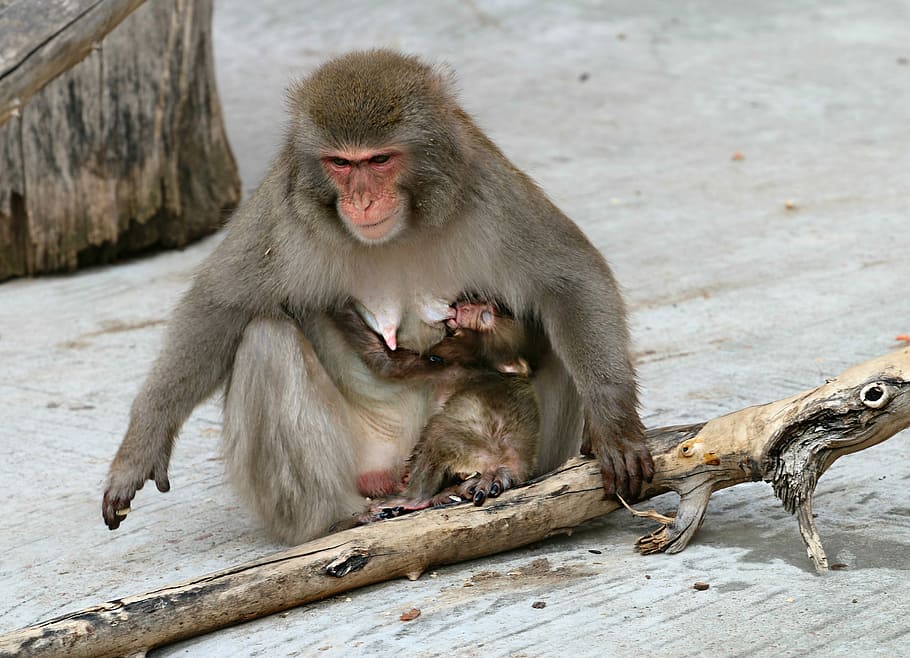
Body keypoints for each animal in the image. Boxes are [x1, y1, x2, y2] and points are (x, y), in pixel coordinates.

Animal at [102, 49, 652, 544]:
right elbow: (220, 305)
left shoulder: (489, 192)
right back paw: (337, 519)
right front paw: (140, 450)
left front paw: (614, 426)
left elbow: (569, 280)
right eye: (341, 164)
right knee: (266, 339)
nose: (362, 200)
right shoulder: (283, 212)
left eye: (379, 159)